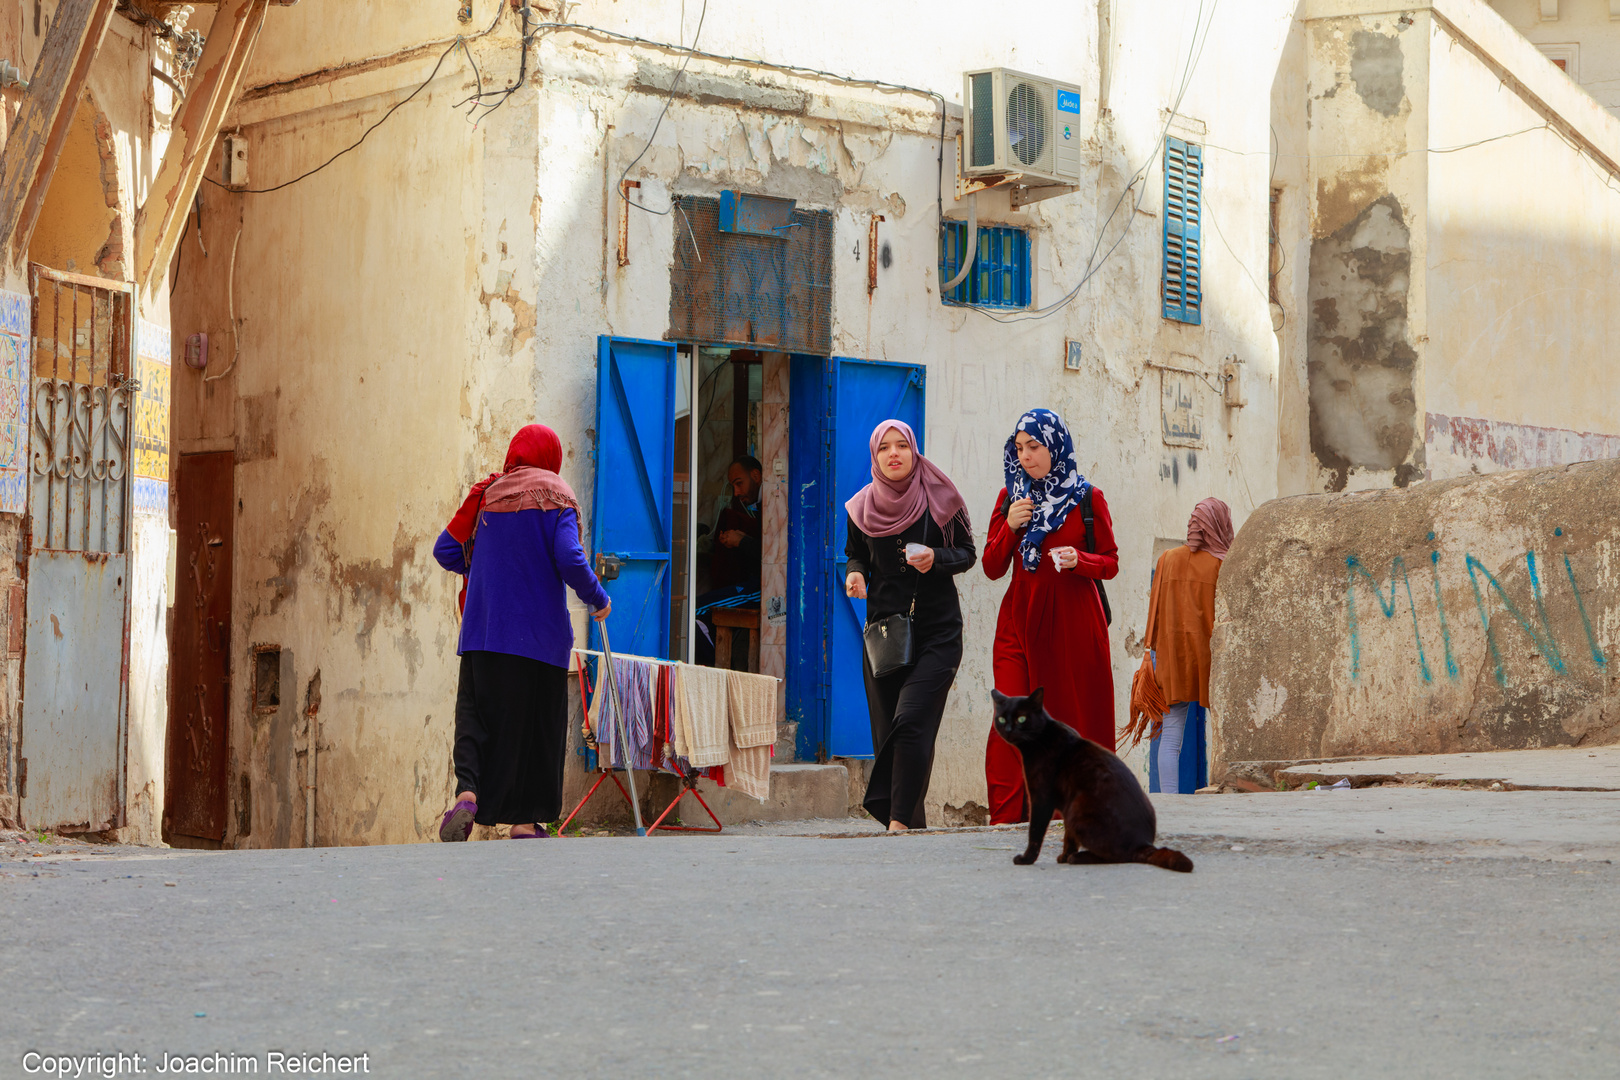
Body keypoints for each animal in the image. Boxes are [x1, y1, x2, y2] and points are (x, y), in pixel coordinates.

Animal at [984, 689, 1192, 874]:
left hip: (1078, 810)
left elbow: (1035, 831)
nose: (1008, 729)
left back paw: (1079, 858)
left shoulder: (1040, 798)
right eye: (1001, 719)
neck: (1040, 738)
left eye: (1021, 718)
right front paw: (1063, 856)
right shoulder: (1065, 805)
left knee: (1120, 856)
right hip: (1074, 808)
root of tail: (1142, 842)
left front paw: (1027, 859)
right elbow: (1068, 837)